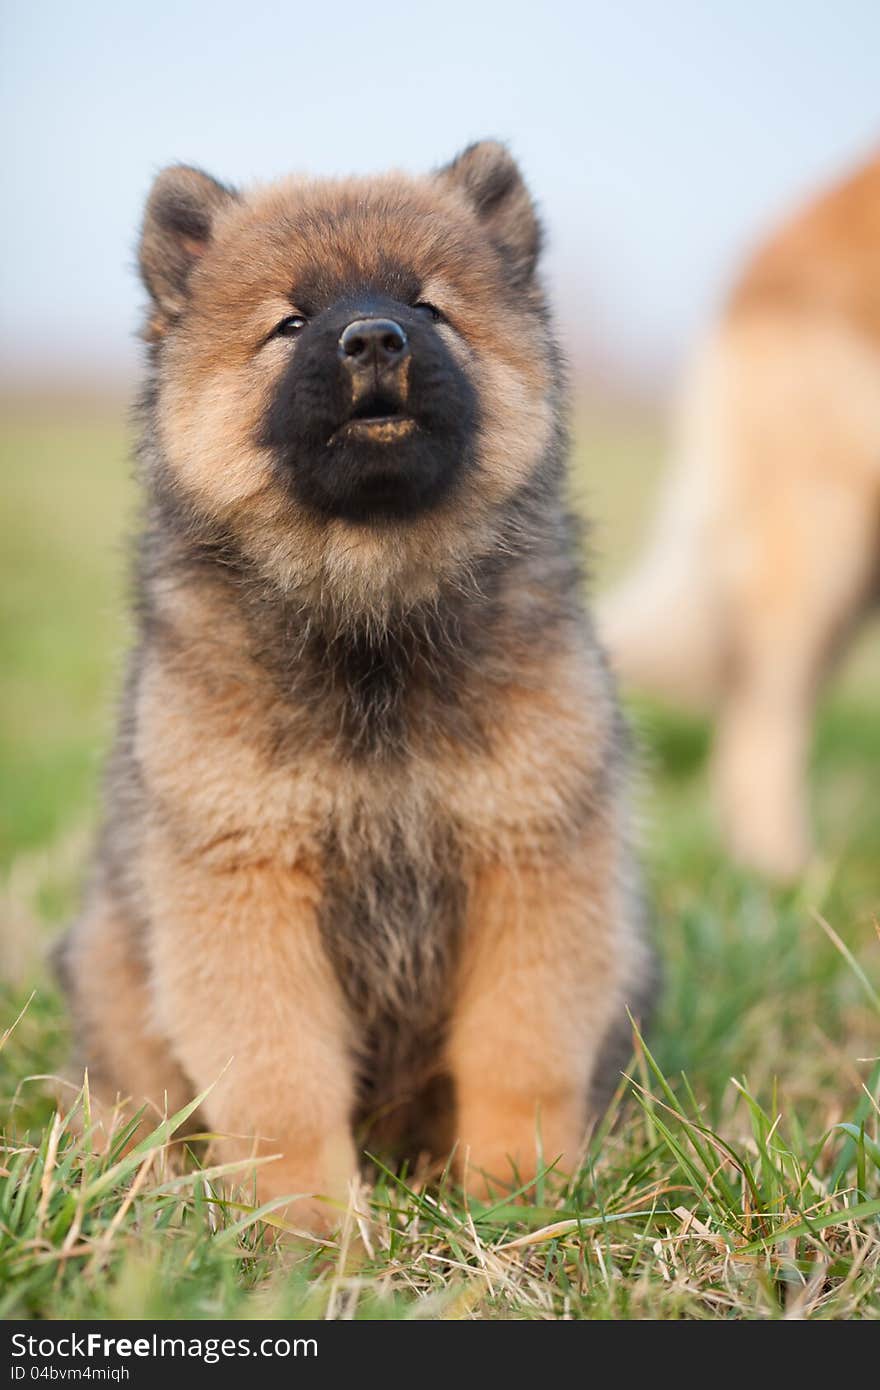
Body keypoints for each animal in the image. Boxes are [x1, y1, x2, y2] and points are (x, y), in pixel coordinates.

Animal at [60, 141, 653, 1228]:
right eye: (291, 323)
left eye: (429, 307)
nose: (374, 336)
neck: (371, 626)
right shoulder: (245, 880)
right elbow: (280, 1086)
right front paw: (310, 1232)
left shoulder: (531, 859)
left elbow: (520, 1056)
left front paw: (519, 1201)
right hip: (111, 961)